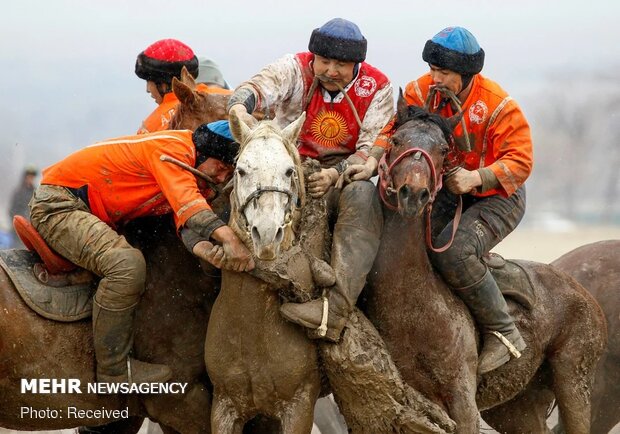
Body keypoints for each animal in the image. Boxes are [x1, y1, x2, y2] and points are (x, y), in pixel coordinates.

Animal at [366, 98, 608, 434]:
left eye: (443, 149)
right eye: (396, 140)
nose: (413, 193)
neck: (412, 301)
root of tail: (581, 290)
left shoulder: (462, 399)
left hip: (574, 378)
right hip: (517, 406)